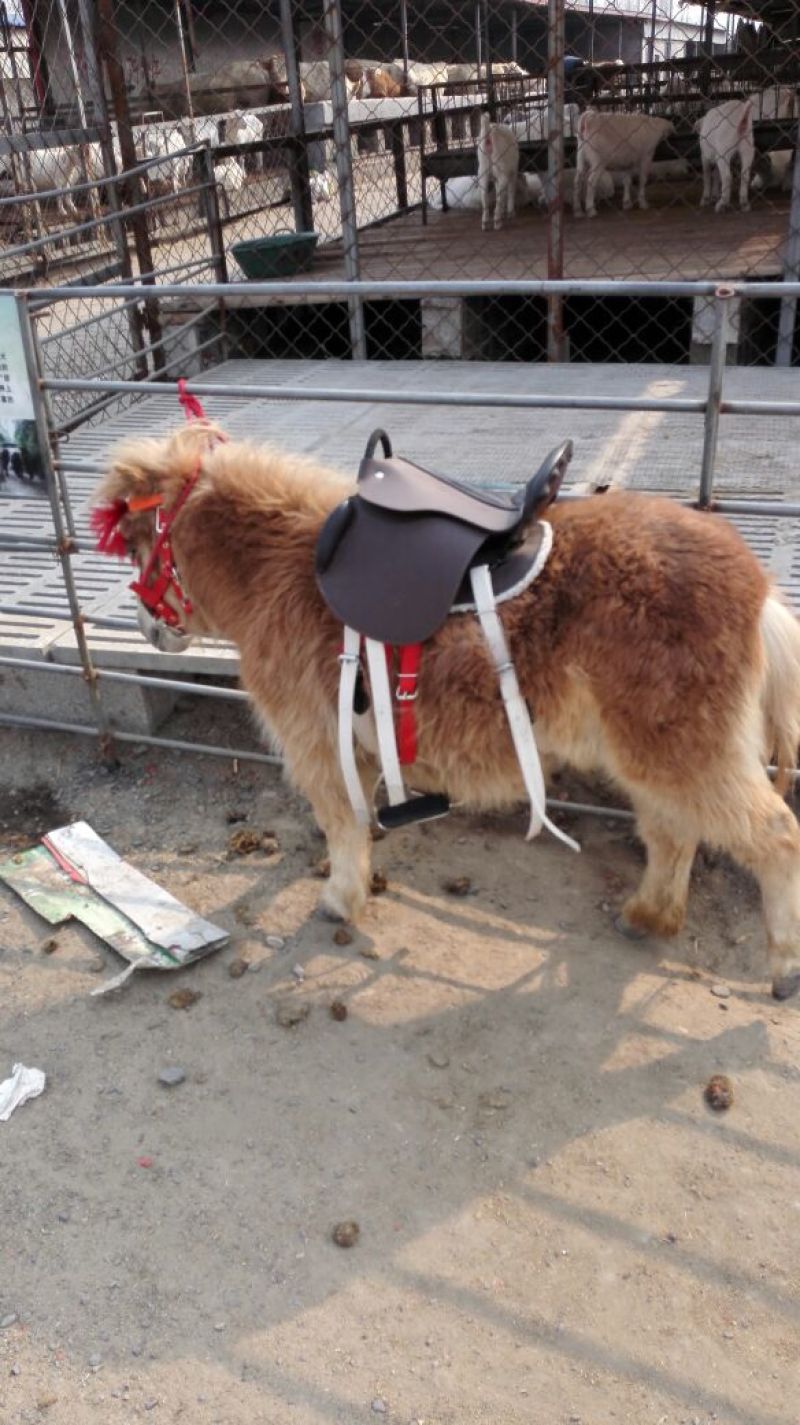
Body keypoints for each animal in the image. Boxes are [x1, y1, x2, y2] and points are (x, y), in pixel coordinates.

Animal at [94, 421, 800, 1001]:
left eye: (133, 544)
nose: (147, 629)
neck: (278, 571)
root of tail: (759, 589)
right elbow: (357, 820)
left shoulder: (316, 745)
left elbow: (342, 825)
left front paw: (339, 901)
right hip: (651, 754)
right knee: (674, 832)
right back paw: (647, 916)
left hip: (683, 751)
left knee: (774, 835)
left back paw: (784, 966)